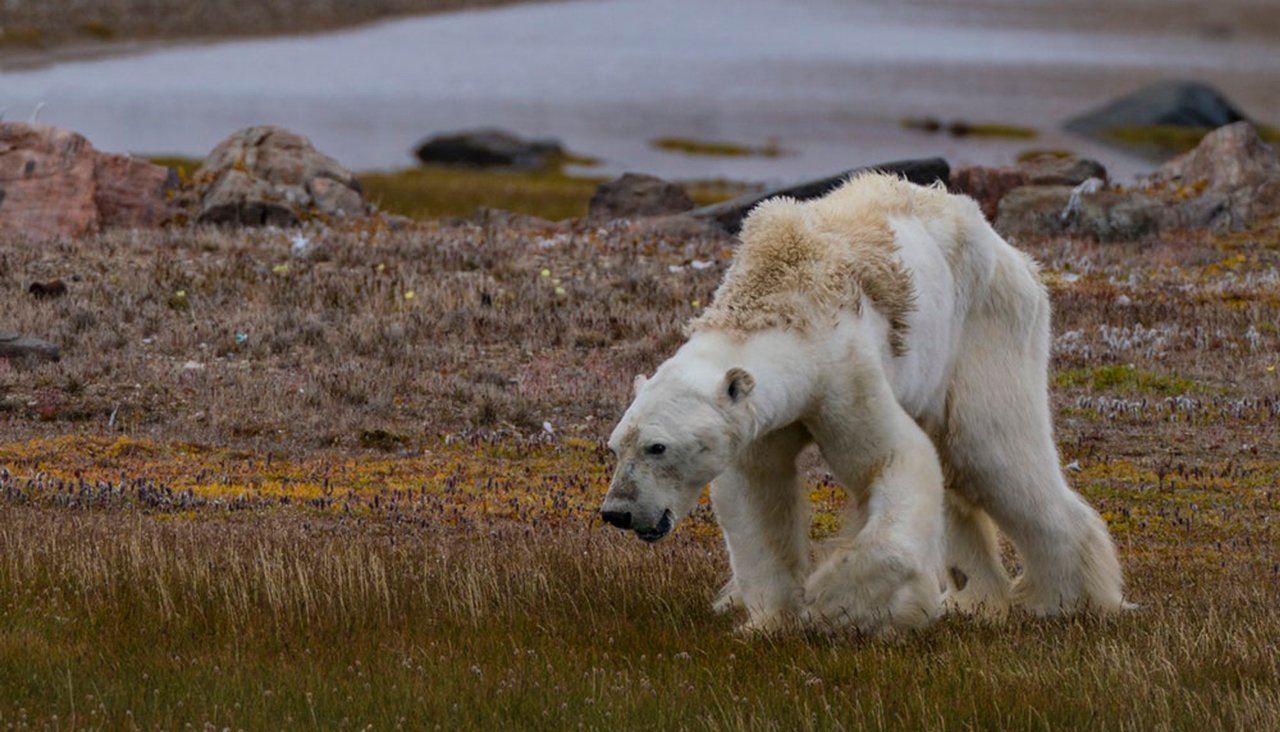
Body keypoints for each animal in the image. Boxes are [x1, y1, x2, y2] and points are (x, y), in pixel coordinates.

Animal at [596, 172, 1121, 634]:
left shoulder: (843, 372)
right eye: (616, 446)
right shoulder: (760, 419)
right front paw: (769, 621)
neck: (780, 298)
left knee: (992, 452)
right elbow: (756, 495)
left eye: (658, 447)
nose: (617, 512)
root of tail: (1016, 256)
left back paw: (1064, 599)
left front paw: (835, 603)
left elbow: (892, 460)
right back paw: (976, 599)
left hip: (985, 328)